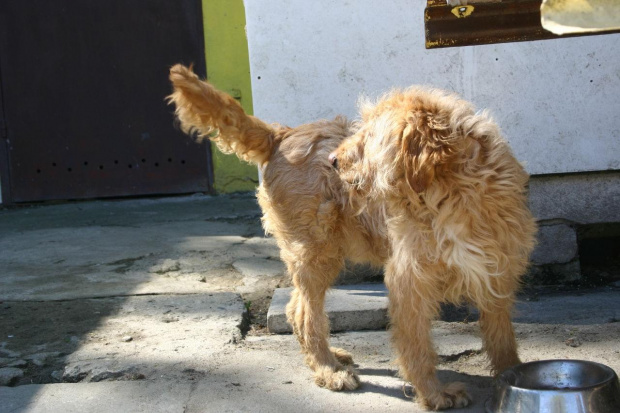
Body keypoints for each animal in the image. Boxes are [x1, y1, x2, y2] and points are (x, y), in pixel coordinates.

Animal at [167, 64, 536, 408]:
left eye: (371, 135)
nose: (333, 161)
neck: (452, 195)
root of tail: (281, 134)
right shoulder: (409, 281)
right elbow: (417, 345)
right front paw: (434, 393)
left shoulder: (497, 270)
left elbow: (502, 336)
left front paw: (509, 374)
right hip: (316, 253)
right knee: (305, 314)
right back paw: (329, 370)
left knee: (295, 309)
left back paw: (329, 358)